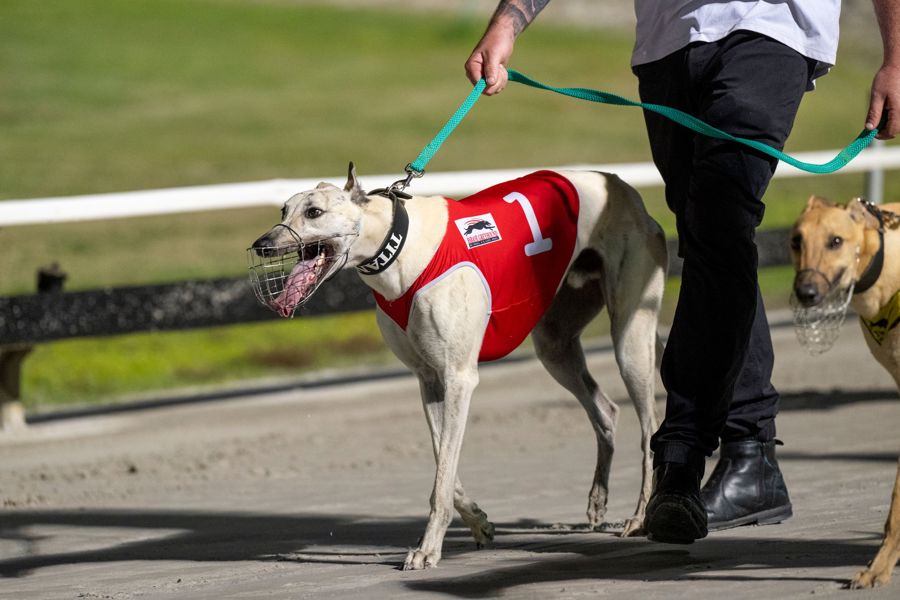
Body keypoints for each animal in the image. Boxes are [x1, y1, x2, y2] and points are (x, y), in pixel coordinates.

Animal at [249, 164, 667, 570]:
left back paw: (641, 517)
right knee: (606, 410)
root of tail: (622, 187)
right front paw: (479, 522)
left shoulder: (459, 378)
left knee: (649, 429)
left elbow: (442, 479)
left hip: (630, 338)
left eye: (314, 212)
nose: (261, 245)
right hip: (555, 344)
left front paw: (427, 550)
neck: (397, 246)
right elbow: (444, 466)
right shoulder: (430, 380)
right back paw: (598, 500)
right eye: (283, 210)